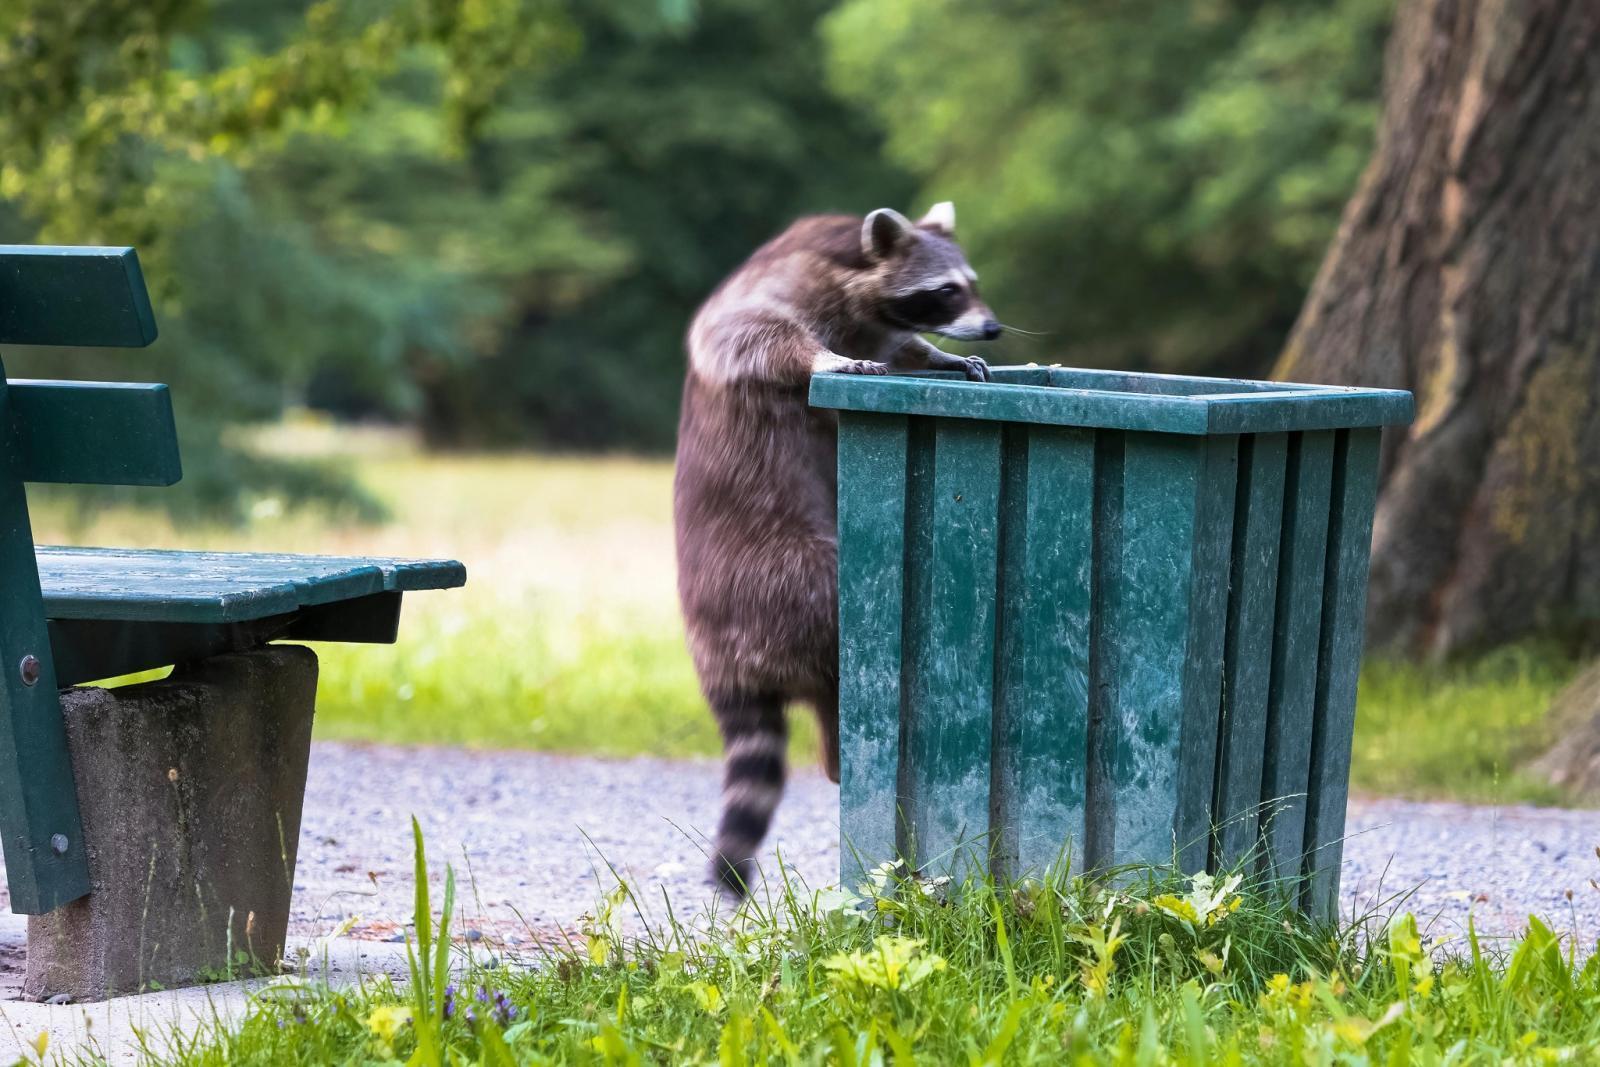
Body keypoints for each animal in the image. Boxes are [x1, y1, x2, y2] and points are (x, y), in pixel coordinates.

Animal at [672, 198, 998, 895]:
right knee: (833, 605)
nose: (991, 330)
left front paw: (936, 356)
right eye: (947, 290)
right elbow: (749, 335)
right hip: (778, 579)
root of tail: (720, 659)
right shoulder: (771, 288)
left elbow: (905, 350)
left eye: (972, 283)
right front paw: (824, 359)